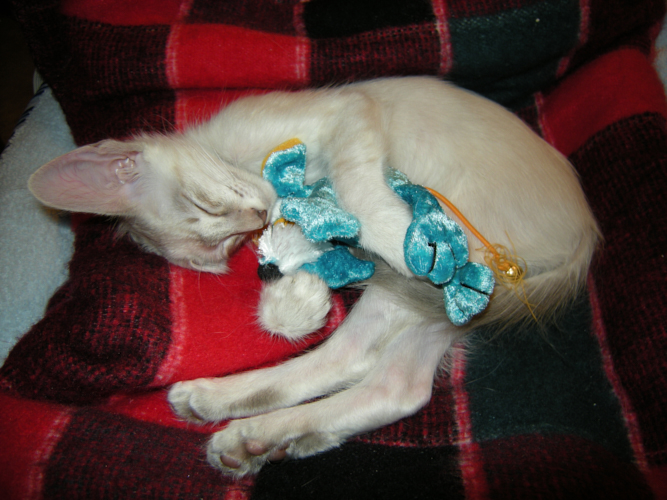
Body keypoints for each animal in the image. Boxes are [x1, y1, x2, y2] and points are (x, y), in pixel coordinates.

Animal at [28, 77, 600, 476]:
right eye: (223, 245)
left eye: (205, 205)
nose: (259, 215)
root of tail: (585, 237)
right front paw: (297, 299)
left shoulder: (351, 111)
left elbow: (357, 191)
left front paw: (394, 238)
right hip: (438, 305)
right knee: (384, 377)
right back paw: (239, 426)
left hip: (463, 245)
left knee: (386, 368)